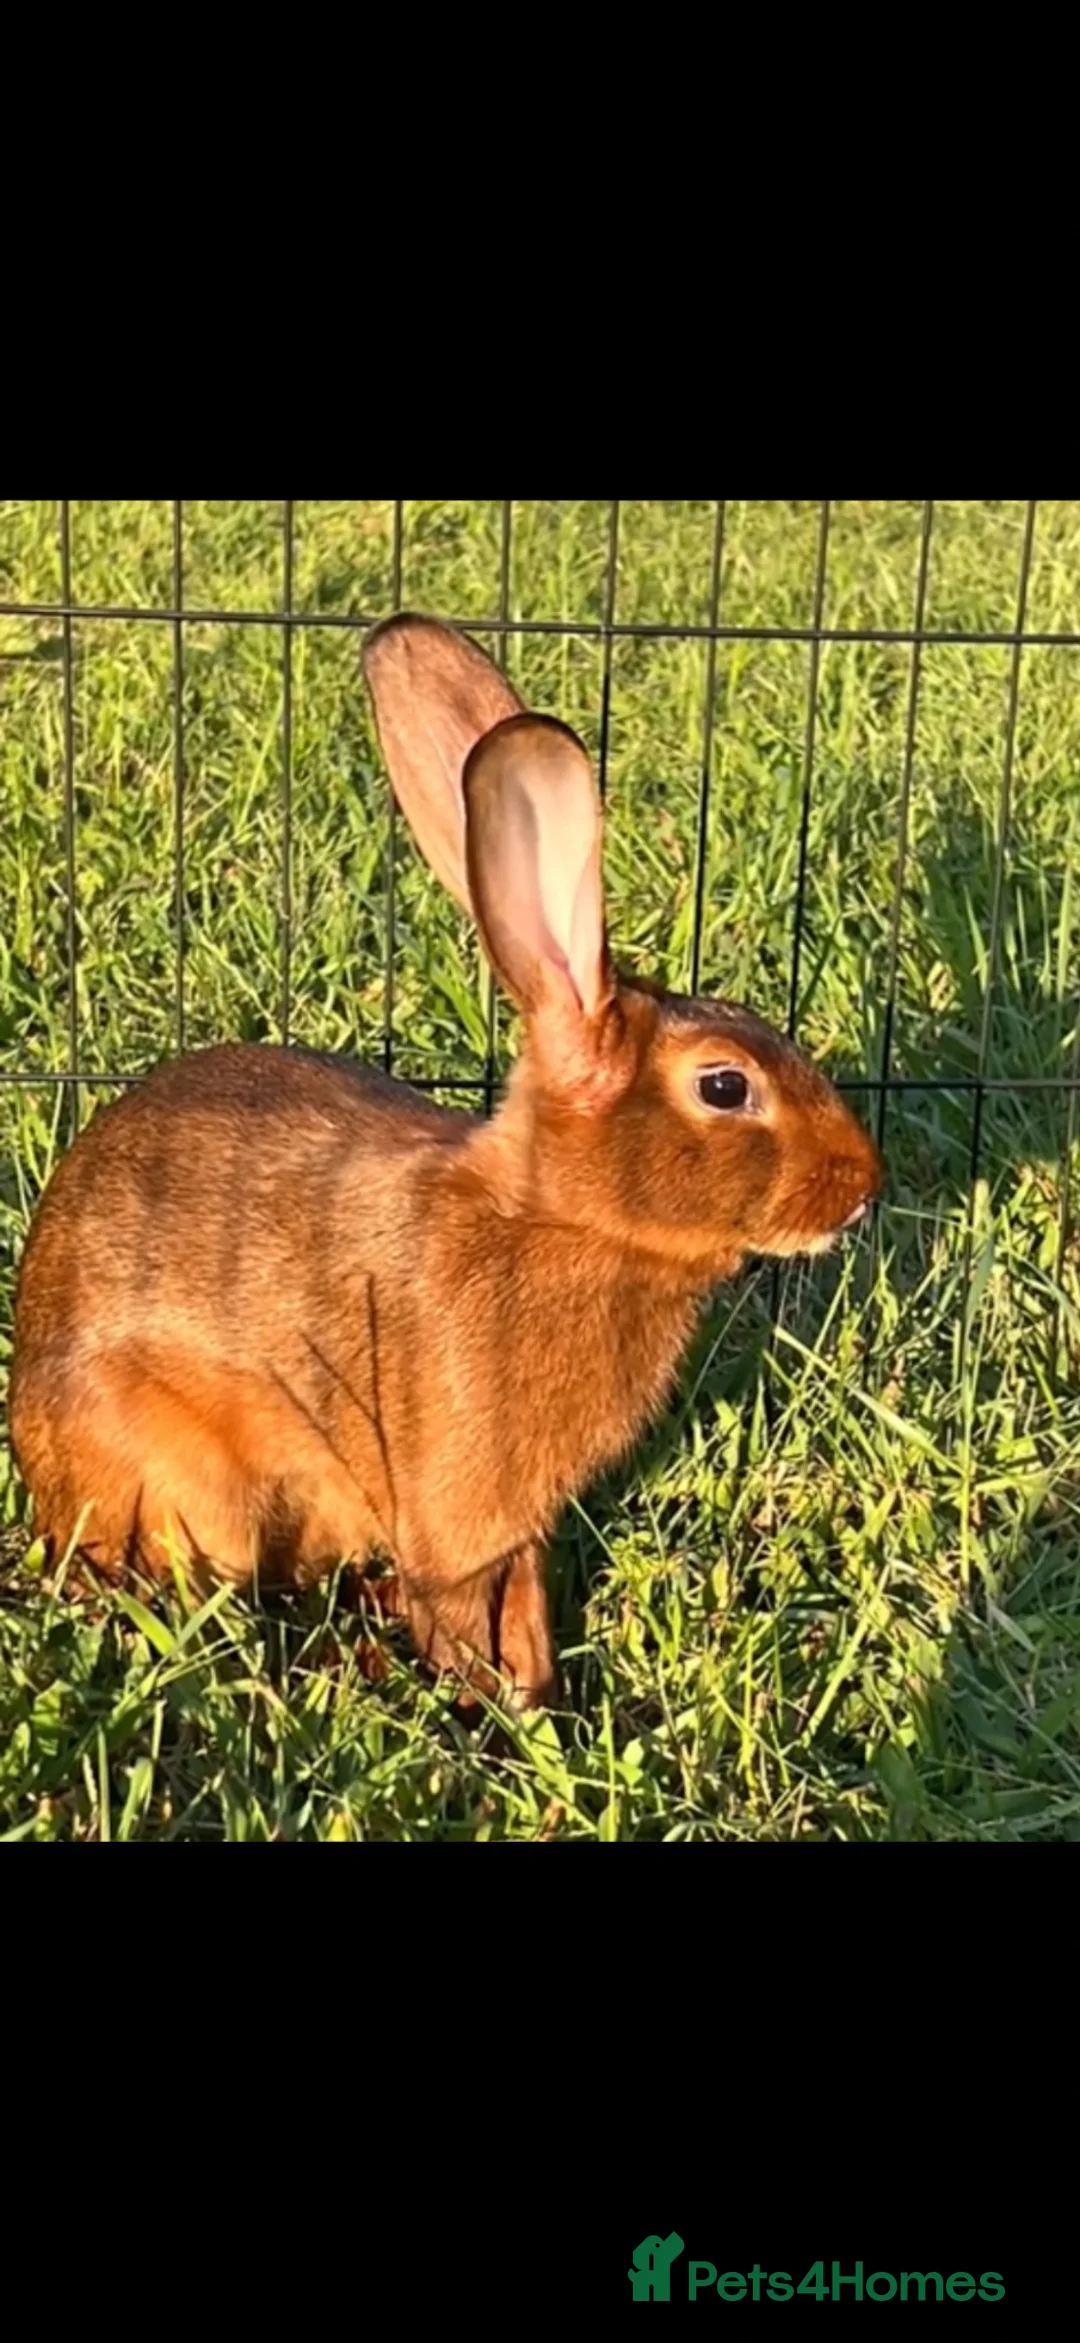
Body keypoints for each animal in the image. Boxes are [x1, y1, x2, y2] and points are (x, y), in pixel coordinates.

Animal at [9, 613, 883, 1710]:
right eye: (725, 1087)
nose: (862, 1188)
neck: (557, 1219)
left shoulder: (517, 1523)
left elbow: (523, 1596)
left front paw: (537, 1688)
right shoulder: (458, 1505)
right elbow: (461, 1605)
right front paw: (500, 1708)